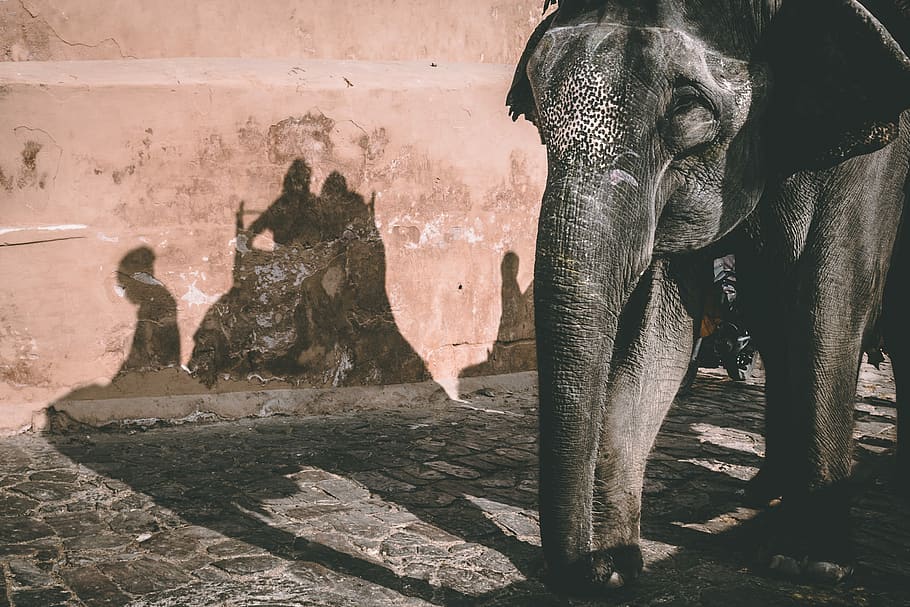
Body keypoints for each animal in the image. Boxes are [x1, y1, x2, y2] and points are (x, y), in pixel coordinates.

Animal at [507, 0, 909, 595]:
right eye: (536, 112)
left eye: (688, 106)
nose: (581, 571)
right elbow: (658, 328)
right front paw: (617, 566)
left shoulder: (881, 147)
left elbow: (830, 298)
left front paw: (808, 564)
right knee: (769, 318)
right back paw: (765, 491)